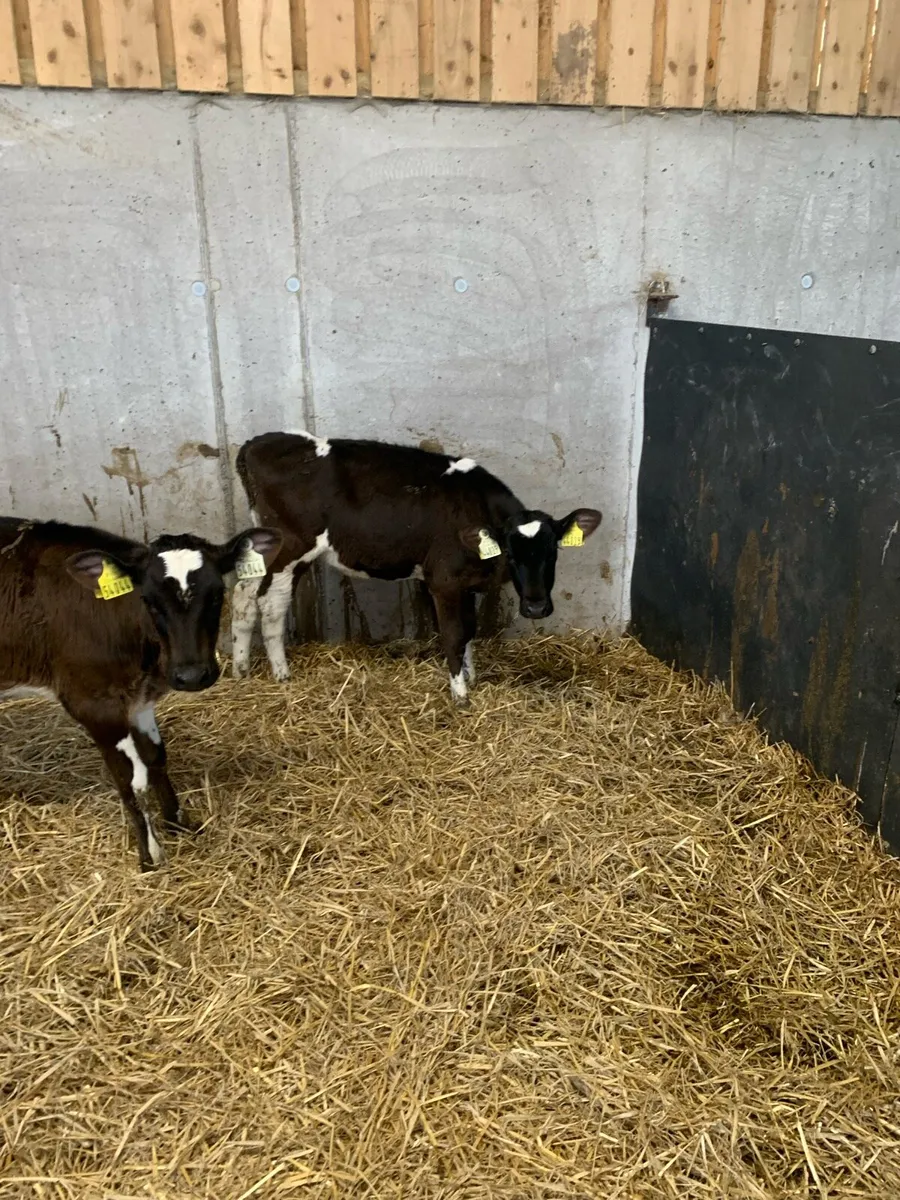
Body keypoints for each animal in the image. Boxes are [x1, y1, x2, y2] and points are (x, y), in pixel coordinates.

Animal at [0, 517, 281, 870]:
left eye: (218, 593)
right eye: (148, 601)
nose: (191, 676)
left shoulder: (139, 701)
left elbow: (156, 758)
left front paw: (178, 823)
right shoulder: (94, 704)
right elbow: (131, 781)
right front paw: (150, 855)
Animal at [231, 431, 602, 703]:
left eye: (553, 552)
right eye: (510, 554)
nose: (537, 607)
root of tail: (257, 443)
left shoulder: (465, 584)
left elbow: (469, 630)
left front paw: (470, 676)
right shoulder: (443, 580)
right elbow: (453, 634)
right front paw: (460, 694)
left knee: (243, 596)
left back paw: (241, 670)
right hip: (291, 548)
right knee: (271, 605)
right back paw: (281, 674)